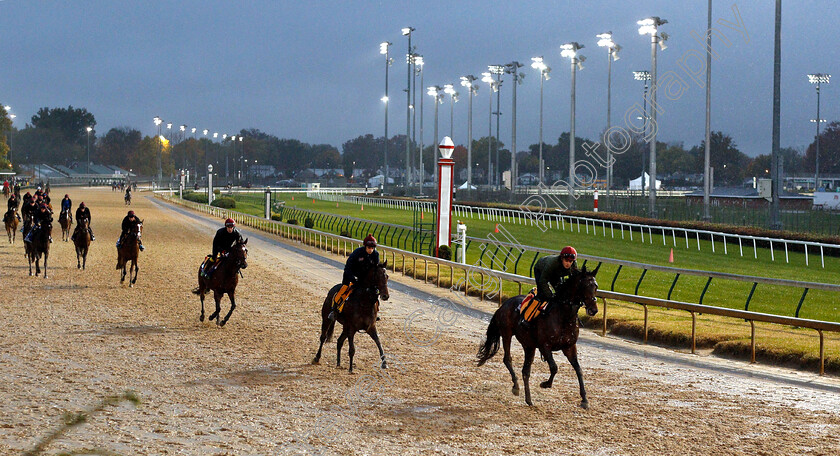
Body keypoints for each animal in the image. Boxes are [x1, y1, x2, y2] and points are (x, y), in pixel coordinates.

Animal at [476, 266, 600, 408]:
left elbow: (579, 370)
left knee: (525, 371)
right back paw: (516, 386)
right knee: (507, 359)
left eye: (595, 286)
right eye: (584, 286)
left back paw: (528, 399)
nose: (593, 309)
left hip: (529, 345)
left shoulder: (569, 346)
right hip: (507, 334)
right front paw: (545, 384)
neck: (563, 316)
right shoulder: (544, 346)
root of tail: (504, 304)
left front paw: (584, 399)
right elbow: (554, 367)